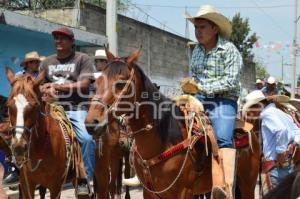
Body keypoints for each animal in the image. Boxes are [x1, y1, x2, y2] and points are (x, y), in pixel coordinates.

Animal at [85, 48, 260, 199]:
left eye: (120, 83)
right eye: (97, 82)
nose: (92, 123)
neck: (162, 141)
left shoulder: (184, 192)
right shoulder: (150, 193)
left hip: (247, 184)